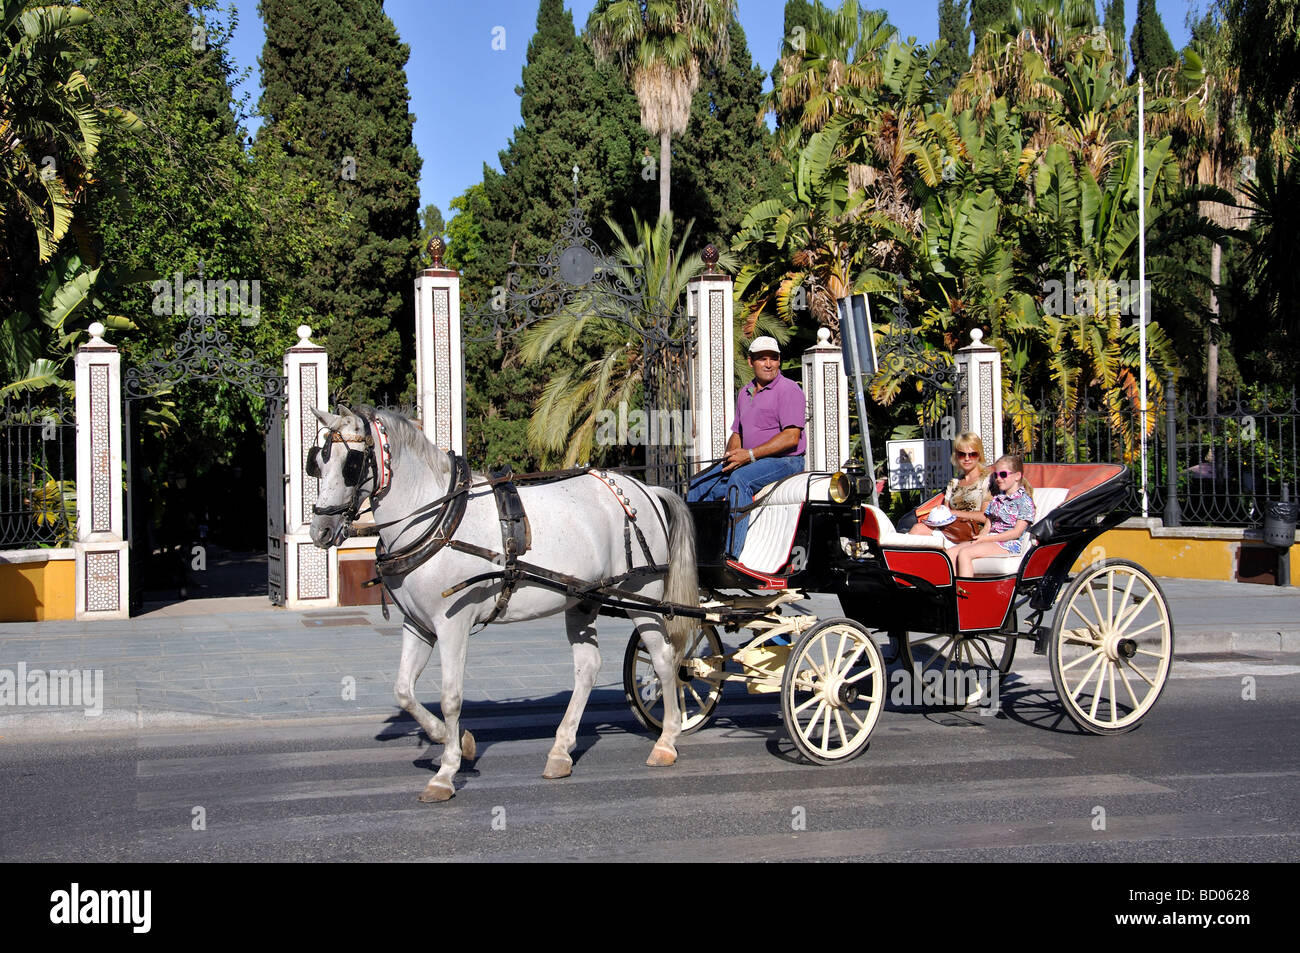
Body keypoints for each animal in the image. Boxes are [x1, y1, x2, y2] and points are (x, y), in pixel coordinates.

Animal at [306, 405, 702, 800]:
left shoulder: (452, 624)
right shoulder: (417, 625)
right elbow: (404, 691)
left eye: (351, 464)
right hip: (584, 597)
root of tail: (645, 489)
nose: (320, 531)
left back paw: (667, 739)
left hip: (642, 591)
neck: (436, 520)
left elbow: (451, 697)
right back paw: (561, 750)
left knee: (664, 659)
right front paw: (455, 740)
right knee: (588, 667)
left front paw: (446, 772)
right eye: (318, 463)